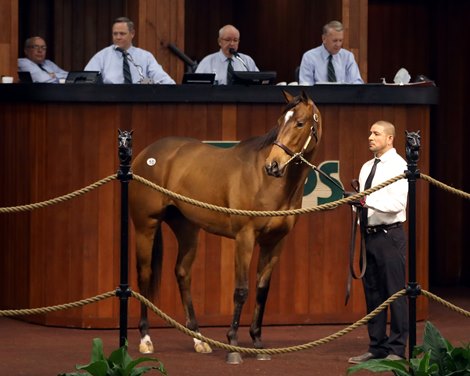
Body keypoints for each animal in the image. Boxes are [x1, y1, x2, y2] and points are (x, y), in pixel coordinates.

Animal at [129, 91, 324, 364]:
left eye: (300, 123)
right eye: (279, 121)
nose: (272, 165)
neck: (268, 183)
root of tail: (146, 153)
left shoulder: (275, 242)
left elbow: (262, 290)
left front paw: (258, 344)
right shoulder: (245, 238)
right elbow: (241, 290)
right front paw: (233, 346)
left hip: (187, 229)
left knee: (182, 273)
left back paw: (199, 339)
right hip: (145, 225)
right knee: (145, 275)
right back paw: (146, 339)